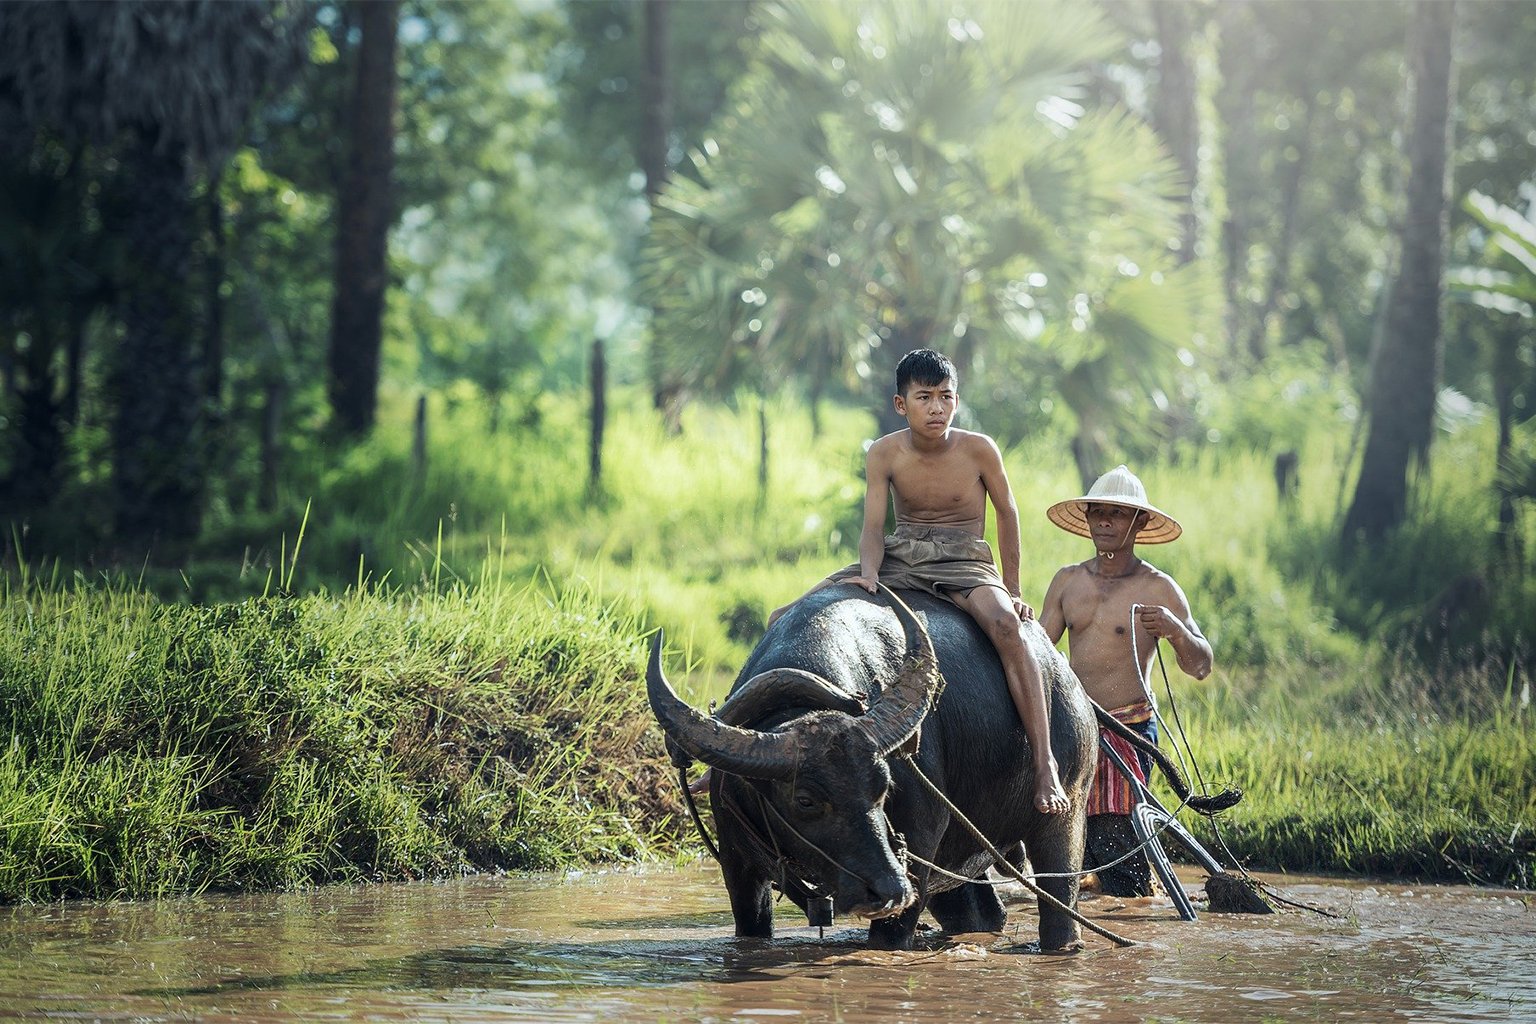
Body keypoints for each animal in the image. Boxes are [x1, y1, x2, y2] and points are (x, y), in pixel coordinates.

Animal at [648, 583, 1105, 951]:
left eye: (883, 787)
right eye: (805, 800)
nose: (888, 889)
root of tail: (1066, 677)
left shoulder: (919, 849)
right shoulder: (738, 867)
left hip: (1066, 812)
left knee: (1060, 897)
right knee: (980, 912)